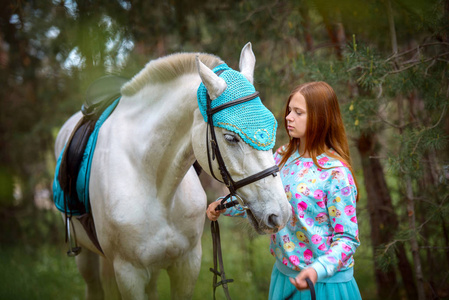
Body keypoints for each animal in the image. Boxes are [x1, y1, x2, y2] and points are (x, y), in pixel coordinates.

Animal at [54, 42, 290, 300]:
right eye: (231, 137)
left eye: (272, 126)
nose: (280, 214)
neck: (156, 187)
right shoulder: (129, 273)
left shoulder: (186, 264)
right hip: (88, 258)